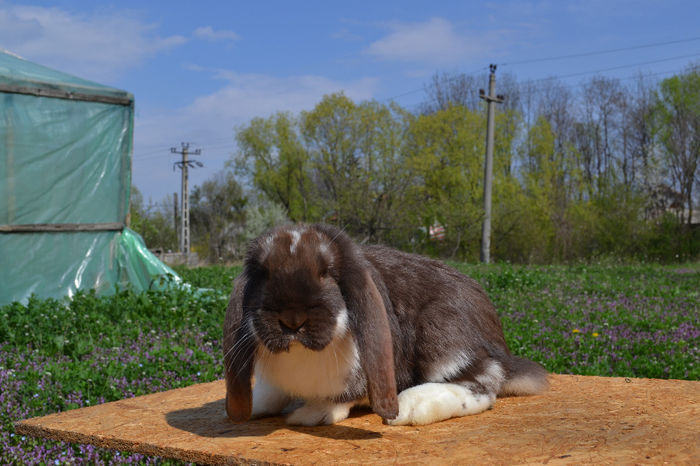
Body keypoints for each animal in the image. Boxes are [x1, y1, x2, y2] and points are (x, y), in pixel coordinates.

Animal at [223, 225, 548, 426]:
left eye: (327, 273)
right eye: (263, 273)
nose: (292, 319)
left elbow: (342, 398)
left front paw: (312, 414)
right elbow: (271, 392)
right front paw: (252, 406)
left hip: (443, 336)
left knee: (483, 384)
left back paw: (414, 406)